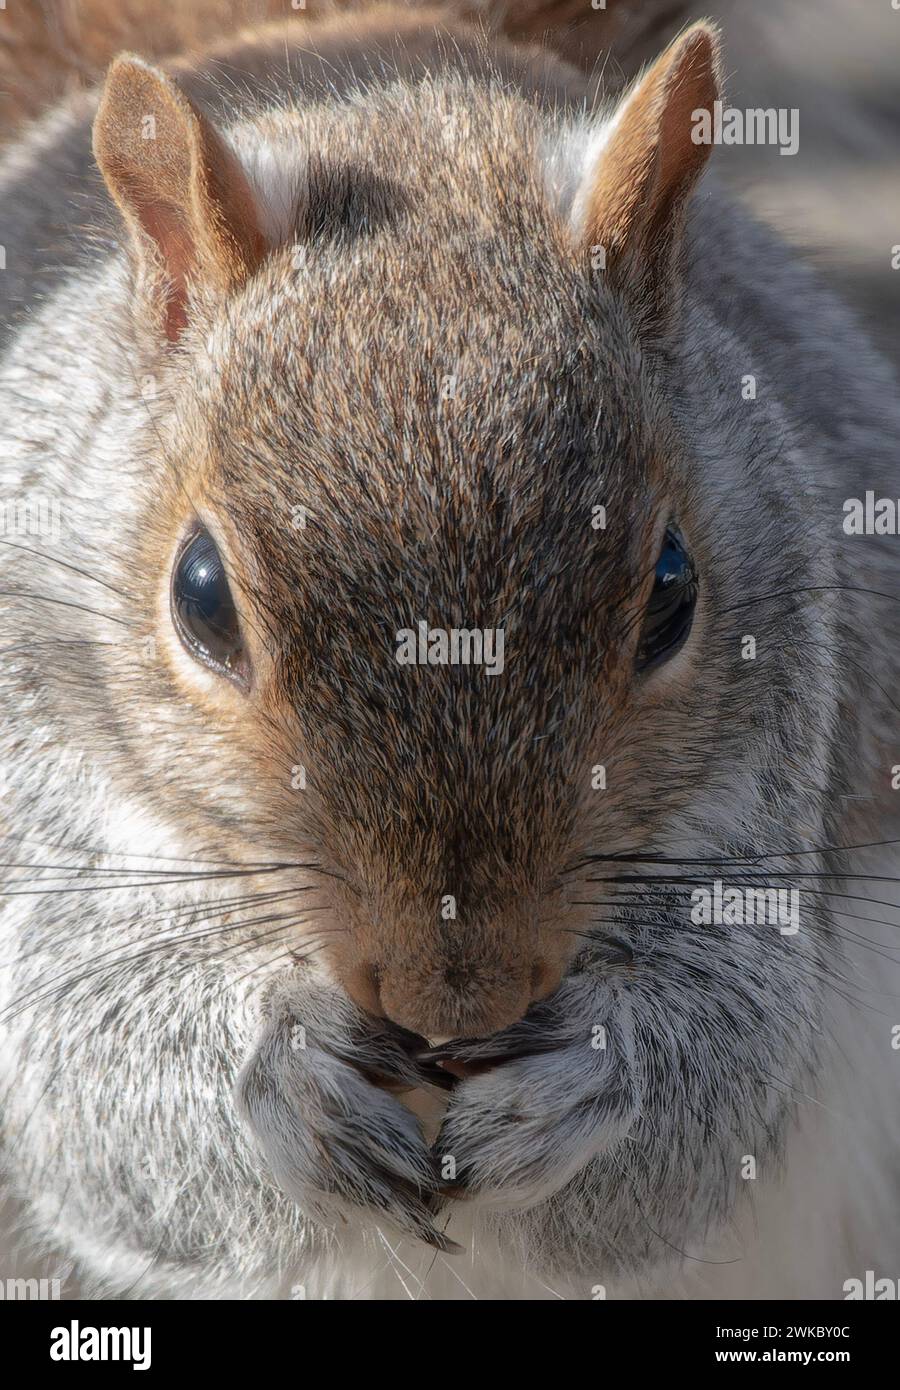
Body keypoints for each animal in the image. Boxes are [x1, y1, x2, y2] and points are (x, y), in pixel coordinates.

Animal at [1, 0, 899, 1299]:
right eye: (201, 598)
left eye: (673, 592)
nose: (452, 997)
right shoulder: (37, 741)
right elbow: (79, 1072)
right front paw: (281, 1070)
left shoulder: (786, 747)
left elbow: (717, 1078)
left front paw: (588, 1073)